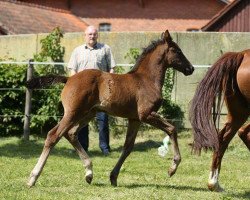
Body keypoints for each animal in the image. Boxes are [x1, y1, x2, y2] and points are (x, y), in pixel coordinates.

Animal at [26, 30, 194, 188]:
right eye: (177, 51)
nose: (191, 68)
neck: (146, 80)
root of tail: (69, 79)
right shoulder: (146, 114)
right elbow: (172, 129)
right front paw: (172, 168)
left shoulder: (135, 119)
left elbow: (128, 147)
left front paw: (113, 177)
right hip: (73, 113)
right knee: (53, 135)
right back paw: (33, 177)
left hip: (87, 114)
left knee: (71, 133)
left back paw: (89, 173)